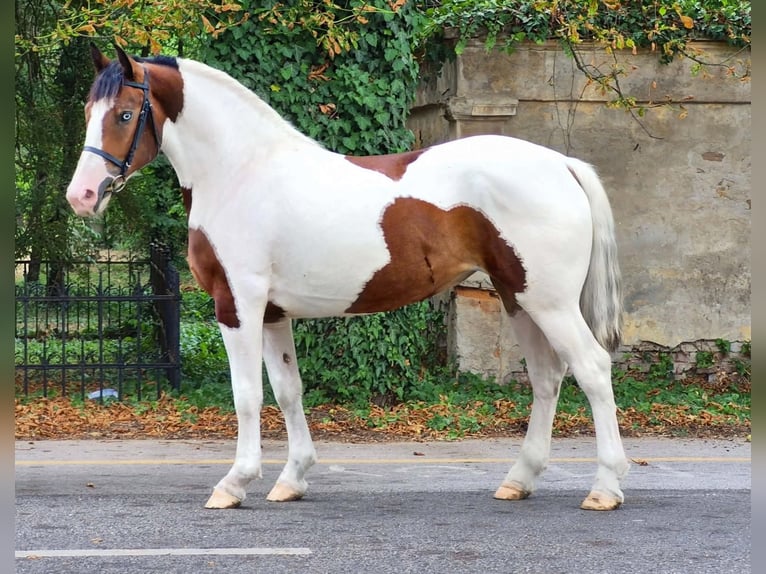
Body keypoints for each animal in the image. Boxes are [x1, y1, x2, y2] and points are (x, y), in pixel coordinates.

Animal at [66, 44, 630, 511]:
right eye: (89, 114)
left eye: (123, 113)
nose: (82, 196)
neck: (241, 172)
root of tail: (562, 163)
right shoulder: (273, 313)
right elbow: (288, 391)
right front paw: (291, 480)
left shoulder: (238, 305)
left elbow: (247, 395)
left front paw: (234, 483)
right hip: (519, 298)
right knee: (547, 378)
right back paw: (519, 480)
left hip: (550, 304)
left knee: (592, 370)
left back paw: (605, 488)